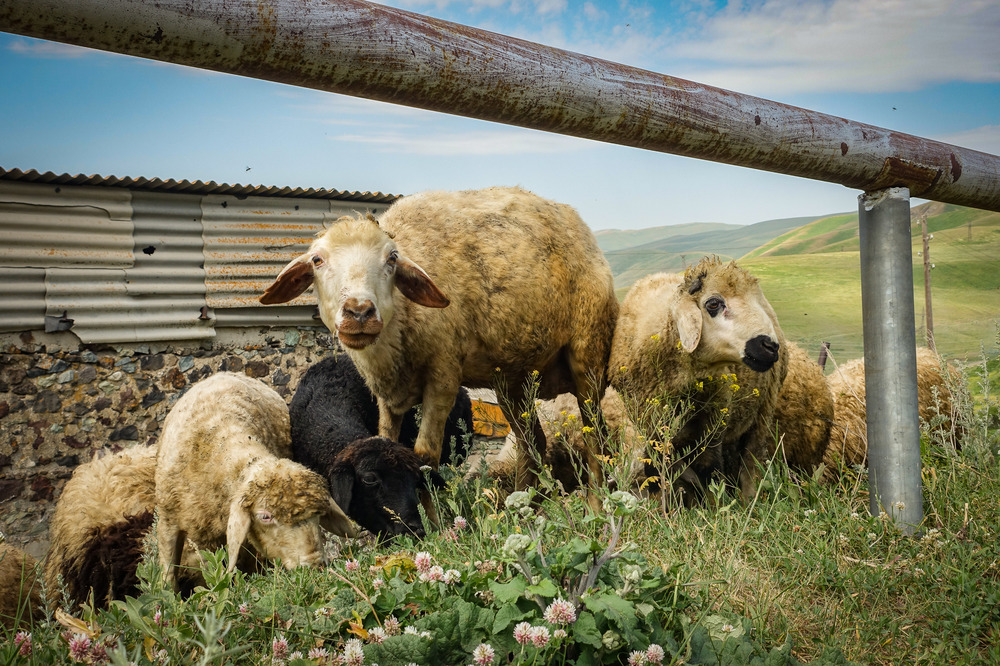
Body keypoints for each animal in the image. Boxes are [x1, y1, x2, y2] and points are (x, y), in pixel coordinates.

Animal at [154, 372, 356, 589]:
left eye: (318, 514)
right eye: (265, 516)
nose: (315, 565)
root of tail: (222, 374)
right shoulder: (167, 522)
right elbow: (168, 574)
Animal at [261, 186, 620, 499]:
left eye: (392, 259)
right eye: (317, 260)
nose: (359, 312)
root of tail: (577, 222)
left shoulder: (443, 377)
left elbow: (424, 456)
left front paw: (434, 519)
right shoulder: (387, 394)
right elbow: (386, 438)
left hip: (586, 353)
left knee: (595, 437)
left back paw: (597, 501)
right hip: (512, 381)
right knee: (532, 442)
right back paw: (525, 504)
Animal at [608, 257, 788, 503]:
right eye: (713, 304)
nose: (769, 346)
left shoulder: (713, 419)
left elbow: (708, 468)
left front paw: (714, 506)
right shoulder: (649, 421)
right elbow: (654, 468)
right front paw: (662, 503)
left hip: (764, 411)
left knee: (752, 459)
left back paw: (749, 498)